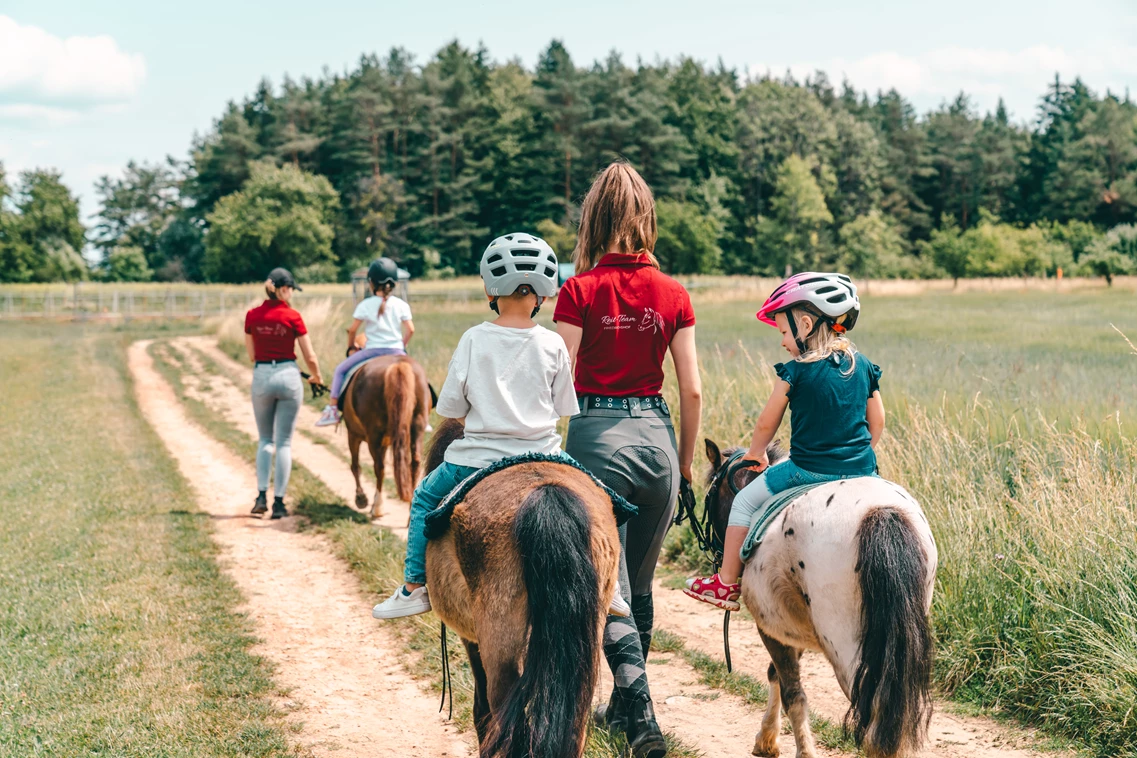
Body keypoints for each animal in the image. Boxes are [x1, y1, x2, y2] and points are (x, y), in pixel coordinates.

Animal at [341, 356, 429, 522]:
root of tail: (398, 365)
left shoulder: (353, 434)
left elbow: (355, 466)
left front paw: (361, 498)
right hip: (418, 425)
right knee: (414, 463)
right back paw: (410, 514)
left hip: (373, 435)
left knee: (379, 467)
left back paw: (377, 507)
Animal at [425, 420, 623, 758]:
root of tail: (546, 493)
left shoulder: (472, 639)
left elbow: (481, 713)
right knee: (574, 728)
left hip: (500, 640)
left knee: (503, 722)